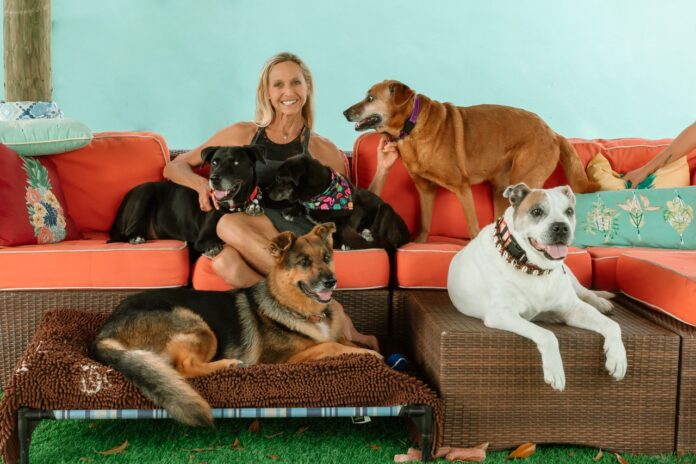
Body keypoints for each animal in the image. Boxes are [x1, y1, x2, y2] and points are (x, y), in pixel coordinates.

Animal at [92, 223, 380, 426]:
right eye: (304, 262)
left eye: (327, 257)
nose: (331, 281)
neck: (293, 306)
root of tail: (103, 333)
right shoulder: (284, 360)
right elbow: (332, 346)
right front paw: (372, 355)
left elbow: (340, 340)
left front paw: (363, 345)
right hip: (197, 324)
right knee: (184, 368)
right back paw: (228, 365)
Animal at [110, 145, 266, 256]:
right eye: (214, 162)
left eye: (236, 162)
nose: (214, 179)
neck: (233, 206)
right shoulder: (202, 240)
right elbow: (211, 243)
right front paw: (213, 247)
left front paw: (253, 207)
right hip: (145, 191)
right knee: (129, 230)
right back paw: (136, 237)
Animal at [266, 154, 408, 252]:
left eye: (278, 178)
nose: (265, 190)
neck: (322, 194)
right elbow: (301, 205)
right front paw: (290, 211)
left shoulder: (357, 211)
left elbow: (347, 226)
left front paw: (344, 243)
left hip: (386, 207)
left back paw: (365, 235)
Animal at [342, 80, 600, 241]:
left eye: (370, 98)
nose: (344, 112)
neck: (411, 127)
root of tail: (554, 132)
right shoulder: (425, 190)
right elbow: (425, 224)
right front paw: (420, 242)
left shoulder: (462, 188)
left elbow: (472, 226)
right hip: (500, 190)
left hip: (524, 177)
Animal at [448, 183, 628, 390]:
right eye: (536, 211)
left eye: (569, 211)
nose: (561, 227)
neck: (534, 268)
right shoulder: (502, 314)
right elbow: (547, 334)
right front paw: (555, 371)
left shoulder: (573, 308)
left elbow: (612, 325)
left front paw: (617, 357)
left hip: (570, 276)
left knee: (585, 292)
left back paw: (601, 303)